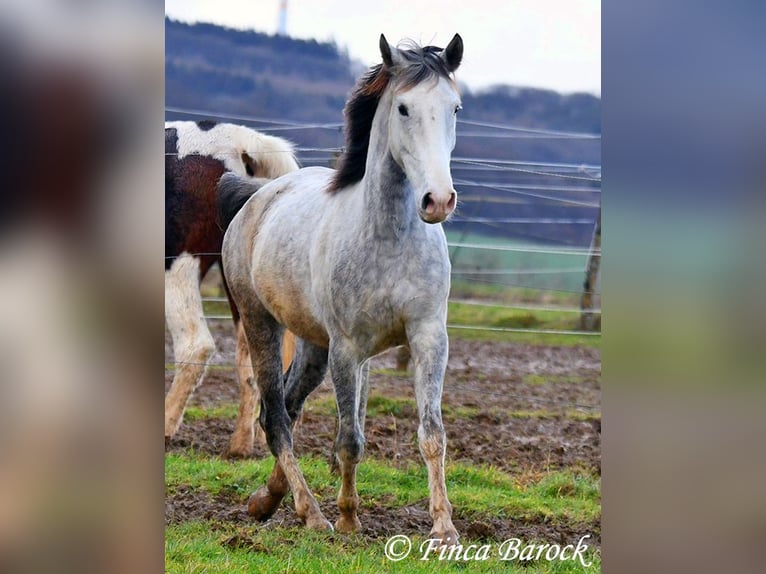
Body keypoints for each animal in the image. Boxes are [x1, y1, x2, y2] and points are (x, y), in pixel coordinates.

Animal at [219, 33, 464, 548]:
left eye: (454, 107)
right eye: (404, 108)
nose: (438, 201)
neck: (389, 239)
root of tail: (255, 198)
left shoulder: (429, 337)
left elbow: (432, 434)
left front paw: (445, 528)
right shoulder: (349, 349)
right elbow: (350, 438)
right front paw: (350, 519)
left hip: (314, 345)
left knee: (288, 407)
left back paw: (268, 500)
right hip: (262, 324)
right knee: (276, 418)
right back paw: (311, 513)